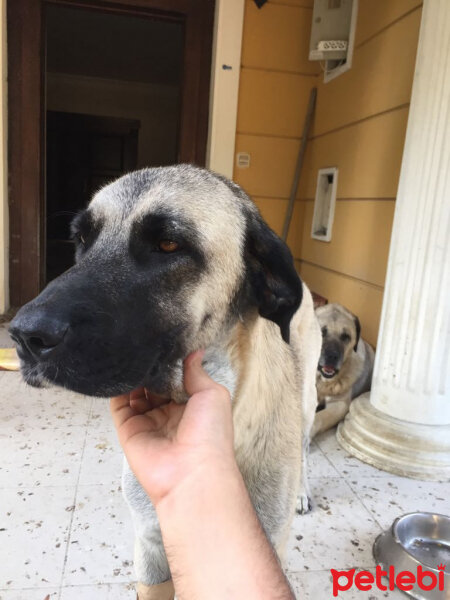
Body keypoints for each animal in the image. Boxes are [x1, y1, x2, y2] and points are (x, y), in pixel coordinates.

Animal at [10, 165, 320, 600]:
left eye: (169, 244)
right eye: (82, 240)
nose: (24, 336)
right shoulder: (151, 549)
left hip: (307, 402)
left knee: (306, 446)